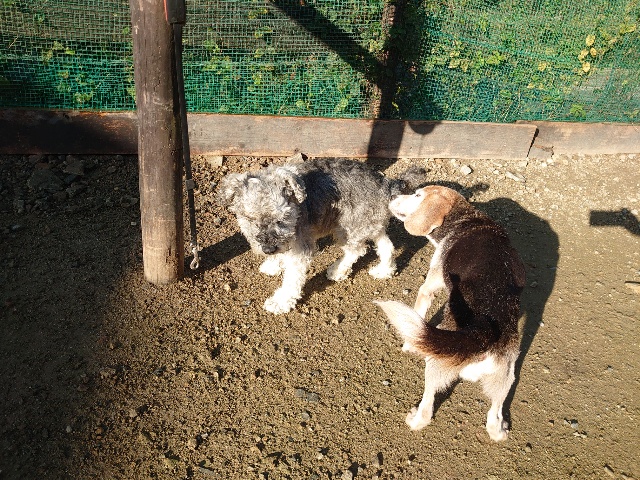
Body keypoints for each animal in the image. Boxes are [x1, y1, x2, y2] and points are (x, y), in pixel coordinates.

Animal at [217, 157, 424, 314]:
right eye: (249, 218)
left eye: (282, 218)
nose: (268, 249)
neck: (297, 206)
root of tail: (386, 184)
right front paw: (273, 264)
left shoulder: (300, 246)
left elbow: (292, 279)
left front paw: (281, 301)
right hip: (369, 224)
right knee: (386, 245)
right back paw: (384, 270)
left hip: (346, 227)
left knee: (356, 250)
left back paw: (338, 270)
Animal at [374, 185, 526, 441]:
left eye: (417, 195)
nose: (392, 195)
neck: (466, 218)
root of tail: (482, 333)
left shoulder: (429, 286)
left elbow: (421, 305)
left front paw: (408, 345)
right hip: (505, 378)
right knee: (494, 418)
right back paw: (499, 430)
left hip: (436, 363)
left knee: (427, 406)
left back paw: (416, 419)